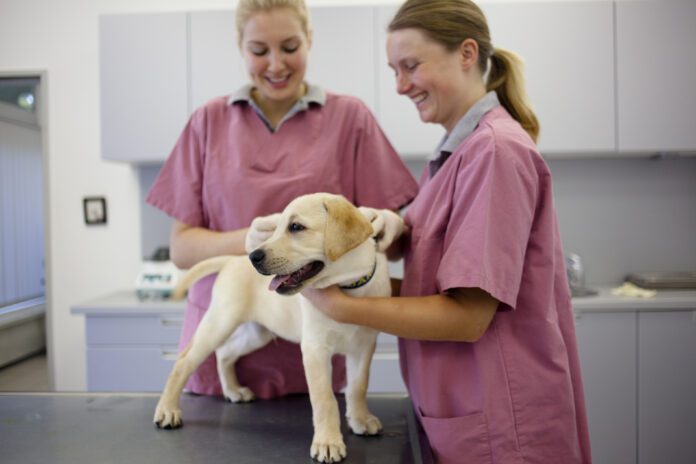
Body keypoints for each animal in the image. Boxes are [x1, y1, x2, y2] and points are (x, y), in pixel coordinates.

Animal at [152, 193, 402, 464]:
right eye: (276, 227)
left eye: (296, 227)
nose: (254, 257)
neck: (348, 286)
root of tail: (232, 260)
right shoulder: (315, 349)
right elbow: (324, 400)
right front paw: (328, 442)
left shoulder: (363, 347)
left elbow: (358, 387)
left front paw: (360, 419)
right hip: (220, 321)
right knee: (184, 361)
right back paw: (167, 410)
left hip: (257, 333)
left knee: (225, 353)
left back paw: (233, 390)